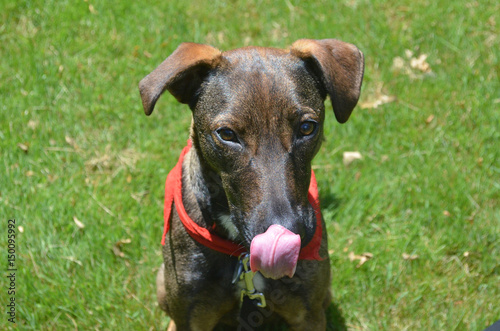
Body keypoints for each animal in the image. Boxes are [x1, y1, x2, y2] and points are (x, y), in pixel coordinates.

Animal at [139, 38, 366, 330]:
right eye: (226, 134)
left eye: (307, 128)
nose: (289, 233)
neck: (243, 257)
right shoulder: (192, 314)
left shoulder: (309, 313)